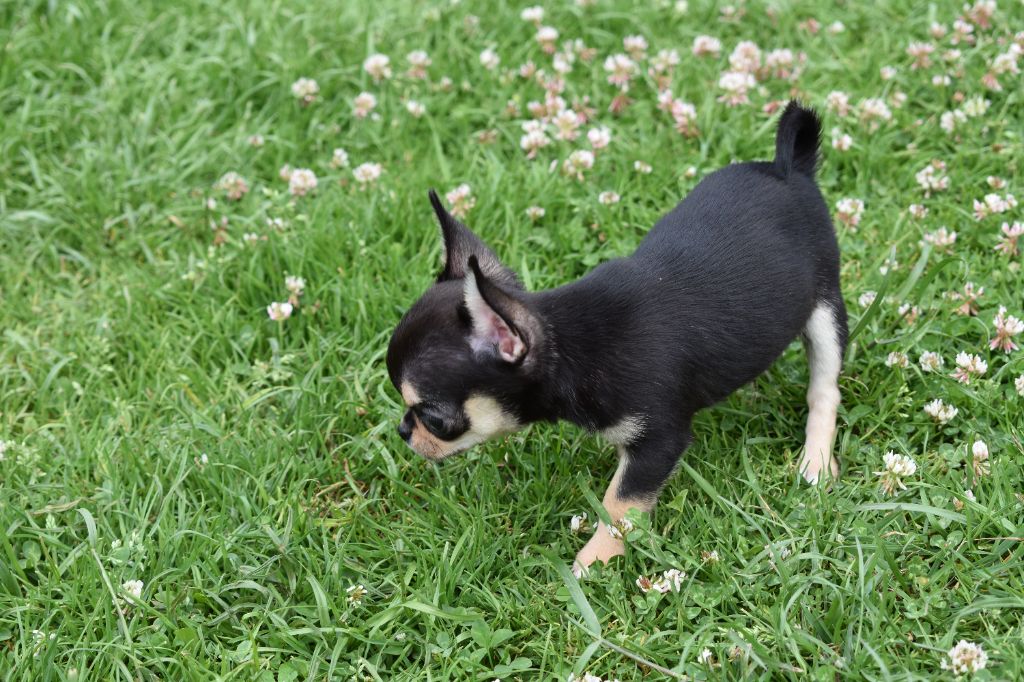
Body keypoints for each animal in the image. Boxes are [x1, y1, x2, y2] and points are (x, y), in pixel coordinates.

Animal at [385, 101, 847, 573]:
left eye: (434, 417)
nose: (403, 431)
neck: (575, 348)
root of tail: (788, 168)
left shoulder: (659, 441)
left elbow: (621, 504)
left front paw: (593, 564)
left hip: (826, 310)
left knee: (824, 390)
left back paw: (815, 462)